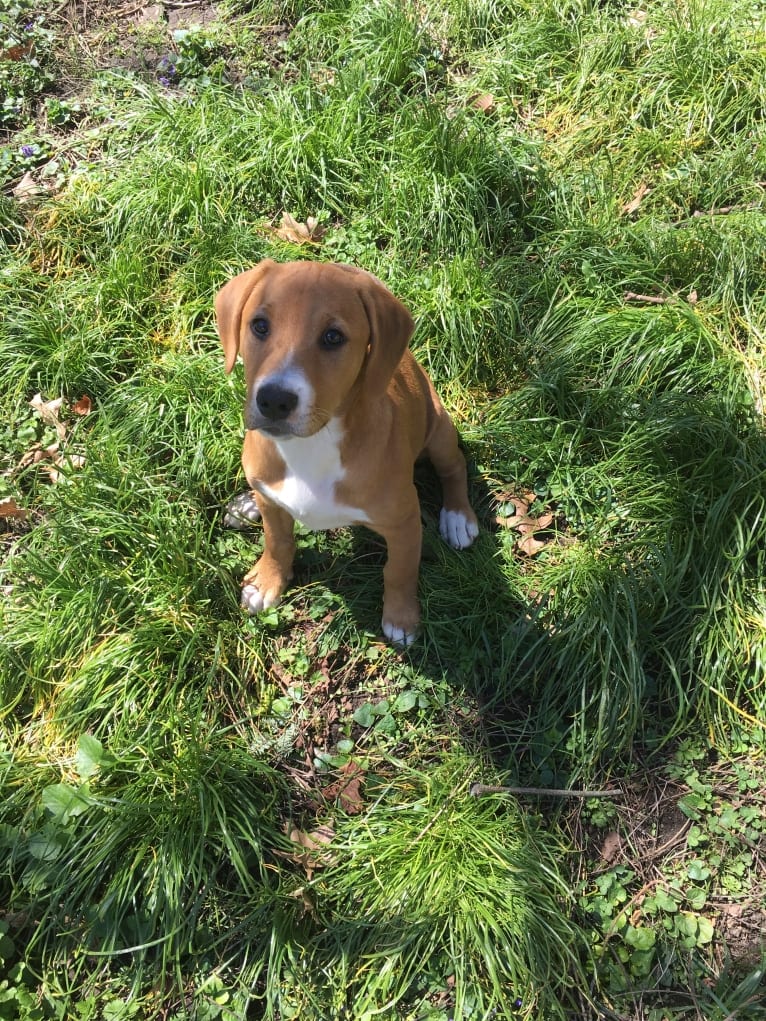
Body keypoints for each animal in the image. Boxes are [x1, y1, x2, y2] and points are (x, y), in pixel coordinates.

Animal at [217, 263, 480, 645]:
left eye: (333, 337)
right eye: (260, 325)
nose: (274, 401)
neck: (310, 446)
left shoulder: (404, 522)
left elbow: (399, 571)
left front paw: (401, 619)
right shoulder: (273, 504)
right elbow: (277, 541)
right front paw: (267, 582)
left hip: (439, 427)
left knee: (454, 465)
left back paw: (458, 517)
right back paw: (246, 505)